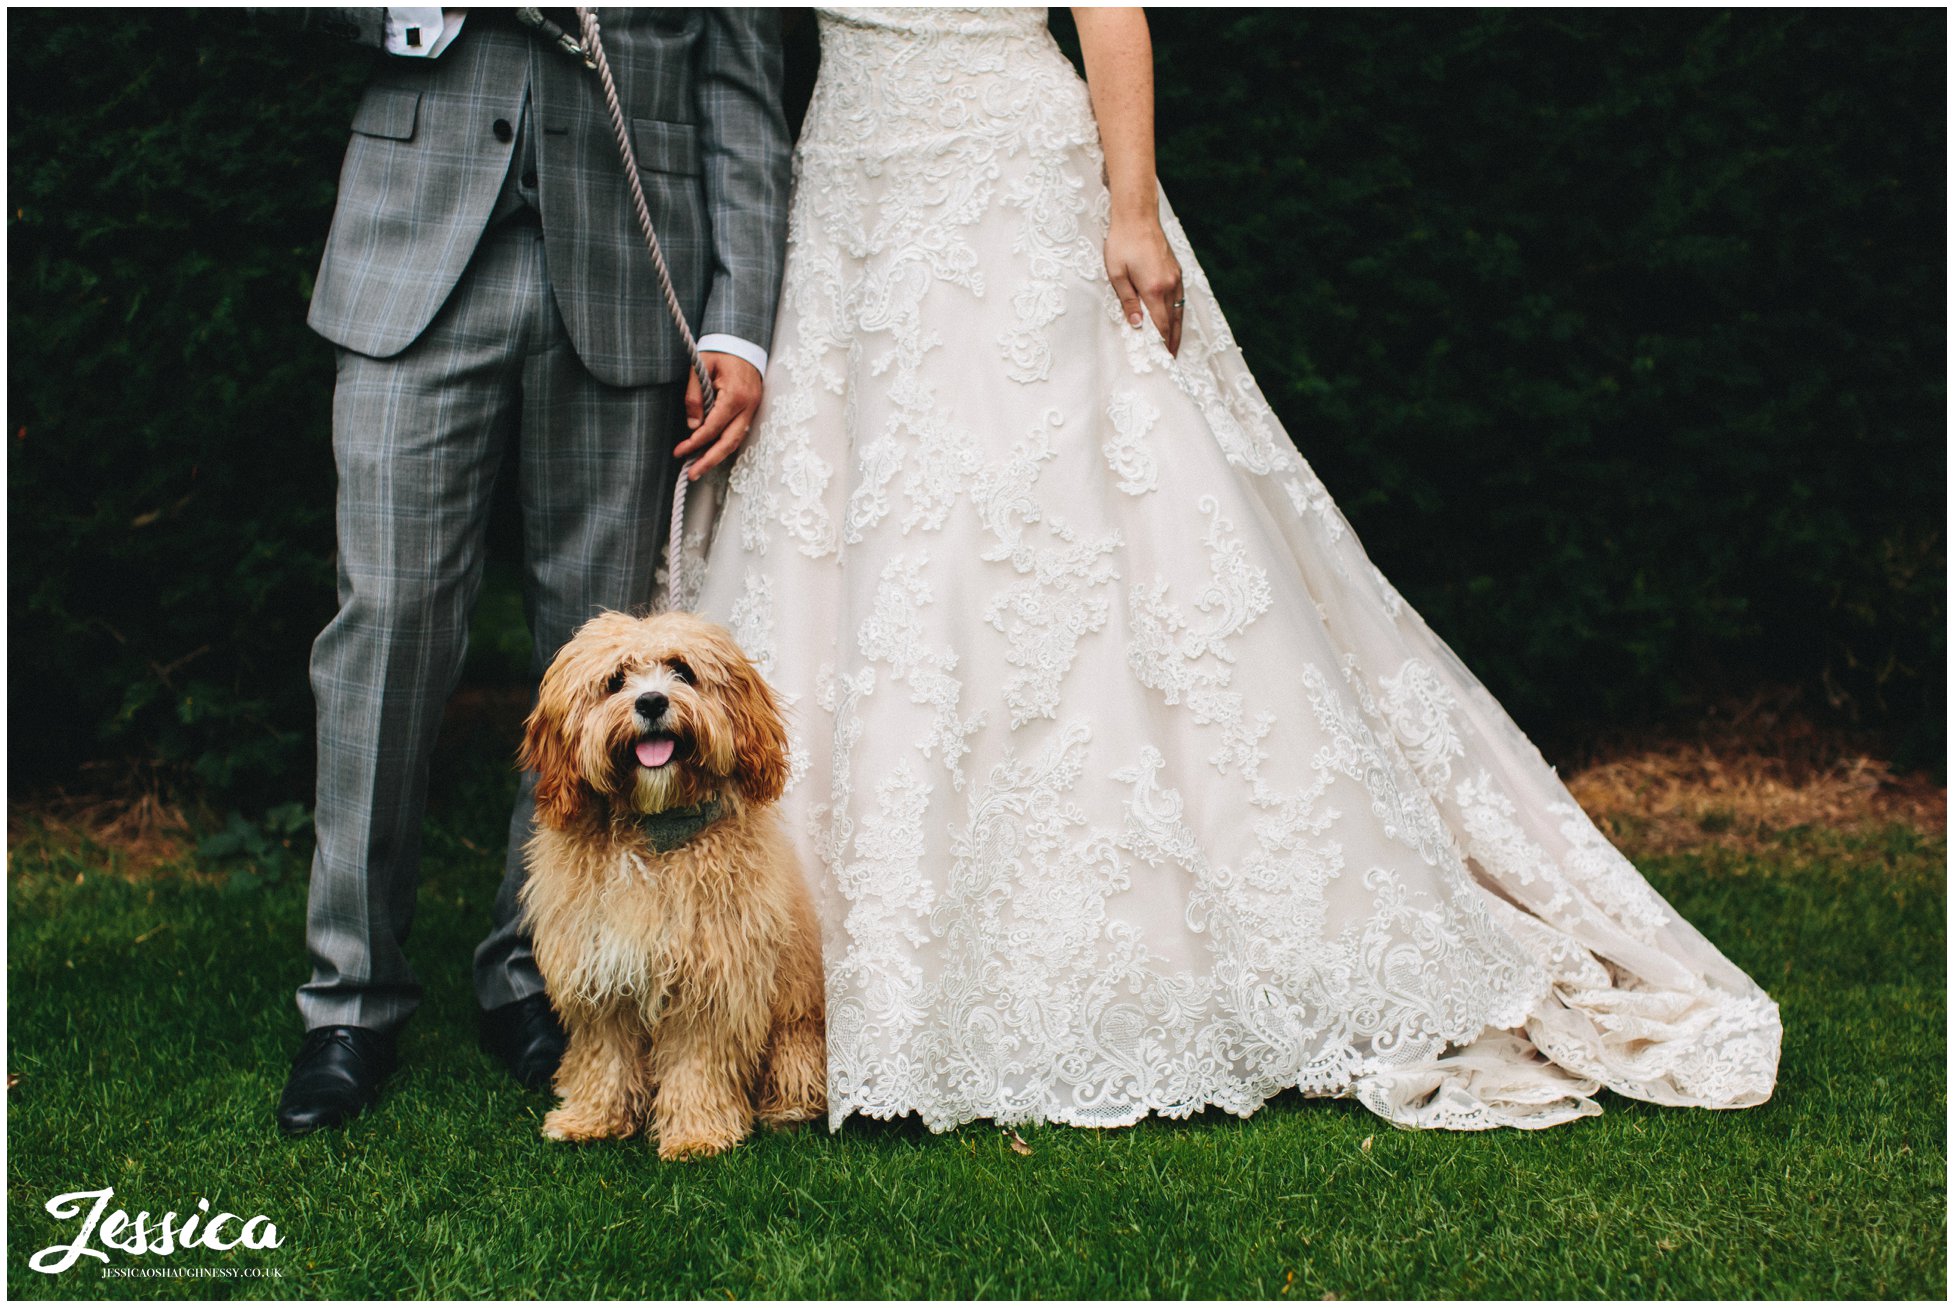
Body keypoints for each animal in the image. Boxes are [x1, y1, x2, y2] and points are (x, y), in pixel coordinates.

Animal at [515, 606, 820, 1157]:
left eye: (682, 671)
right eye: (615, 681)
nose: (652, 701)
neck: (654, 831)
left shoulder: (711, 985)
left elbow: (696, 1066)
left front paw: (697, 1134)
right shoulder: (601, 978)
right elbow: (605, 1057)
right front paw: (592, 1119)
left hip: (795, 1035)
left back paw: (787, 1111)